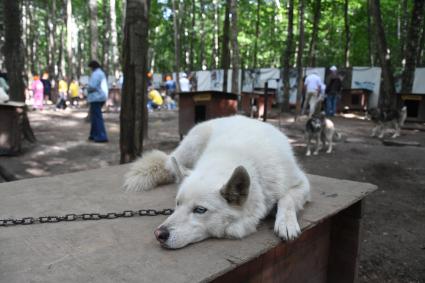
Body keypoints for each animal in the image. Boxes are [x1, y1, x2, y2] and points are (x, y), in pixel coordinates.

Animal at [121, 115, 308, 248]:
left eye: (200, 210)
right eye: (177, 204)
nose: (159, 234)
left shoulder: (303, 183)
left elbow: (287, 199)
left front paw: (286, 223)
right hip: (191, 146)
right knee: (170, 166)